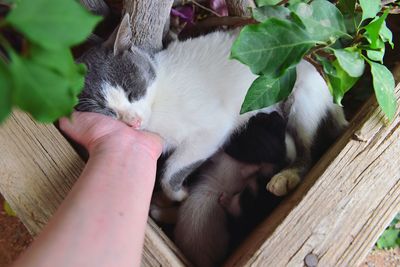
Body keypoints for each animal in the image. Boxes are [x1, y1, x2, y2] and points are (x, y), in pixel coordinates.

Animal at [76, 13, 348, 201]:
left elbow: (174, 167)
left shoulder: (212, 128)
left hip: (302, 96)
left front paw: (177, 193)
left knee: (308, 150)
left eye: (133, 91)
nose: (134, 121)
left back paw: (288, 174)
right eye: (107, 111)